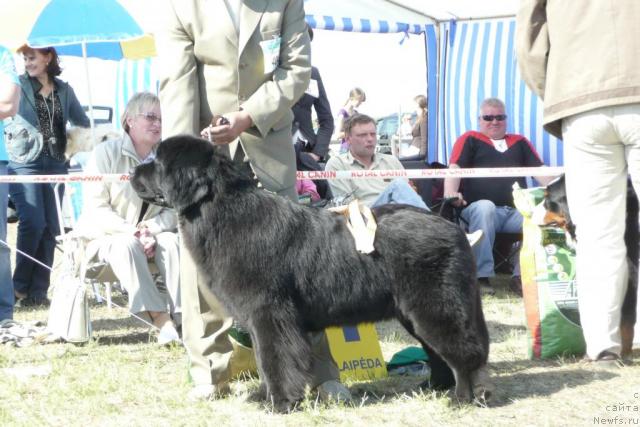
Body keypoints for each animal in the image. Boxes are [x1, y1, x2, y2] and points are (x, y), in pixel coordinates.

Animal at [129, 136, 490, 412]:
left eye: (157, 161)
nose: (132, 171)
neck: (223, 212)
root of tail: (452, 228)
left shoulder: (269, 313)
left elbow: (275, 359)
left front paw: (280, 403)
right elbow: (263, 359)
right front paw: (264, 397)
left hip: (436, 307)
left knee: (464, 352)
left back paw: (461, 398)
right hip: (414, 313)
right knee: (440, 353)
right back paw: (434, 387)